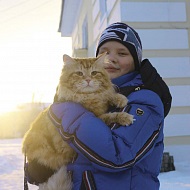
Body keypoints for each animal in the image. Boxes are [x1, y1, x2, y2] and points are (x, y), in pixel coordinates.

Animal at [22, 52, 134, 189]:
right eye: (80, 74)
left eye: (94, 73)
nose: (88, 80)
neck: (88, 96)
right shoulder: (97, 117)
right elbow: (111, 115)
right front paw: (125, 116)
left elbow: (109, 94)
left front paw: (120, 98)